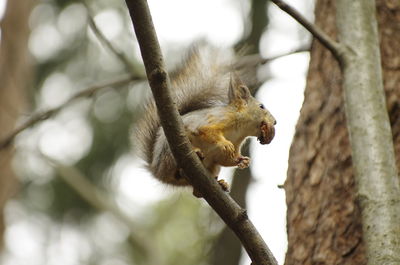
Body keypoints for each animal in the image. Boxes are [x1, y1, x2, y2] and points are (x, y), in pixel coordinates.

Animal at [133, 44, 276, 195]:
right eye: (261, 106)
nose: (275, 122)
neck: (241, 129)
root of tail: (157, 171)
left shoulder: (235, 144)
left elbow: (225, 159)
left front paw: (242, 161)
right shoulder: (215, 120)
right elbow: (207, 131)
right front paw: (225, 144)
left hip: (213, 167)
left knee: (196, 192)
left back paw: (220, 184)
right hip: (170, 151)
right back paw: (195, 154)